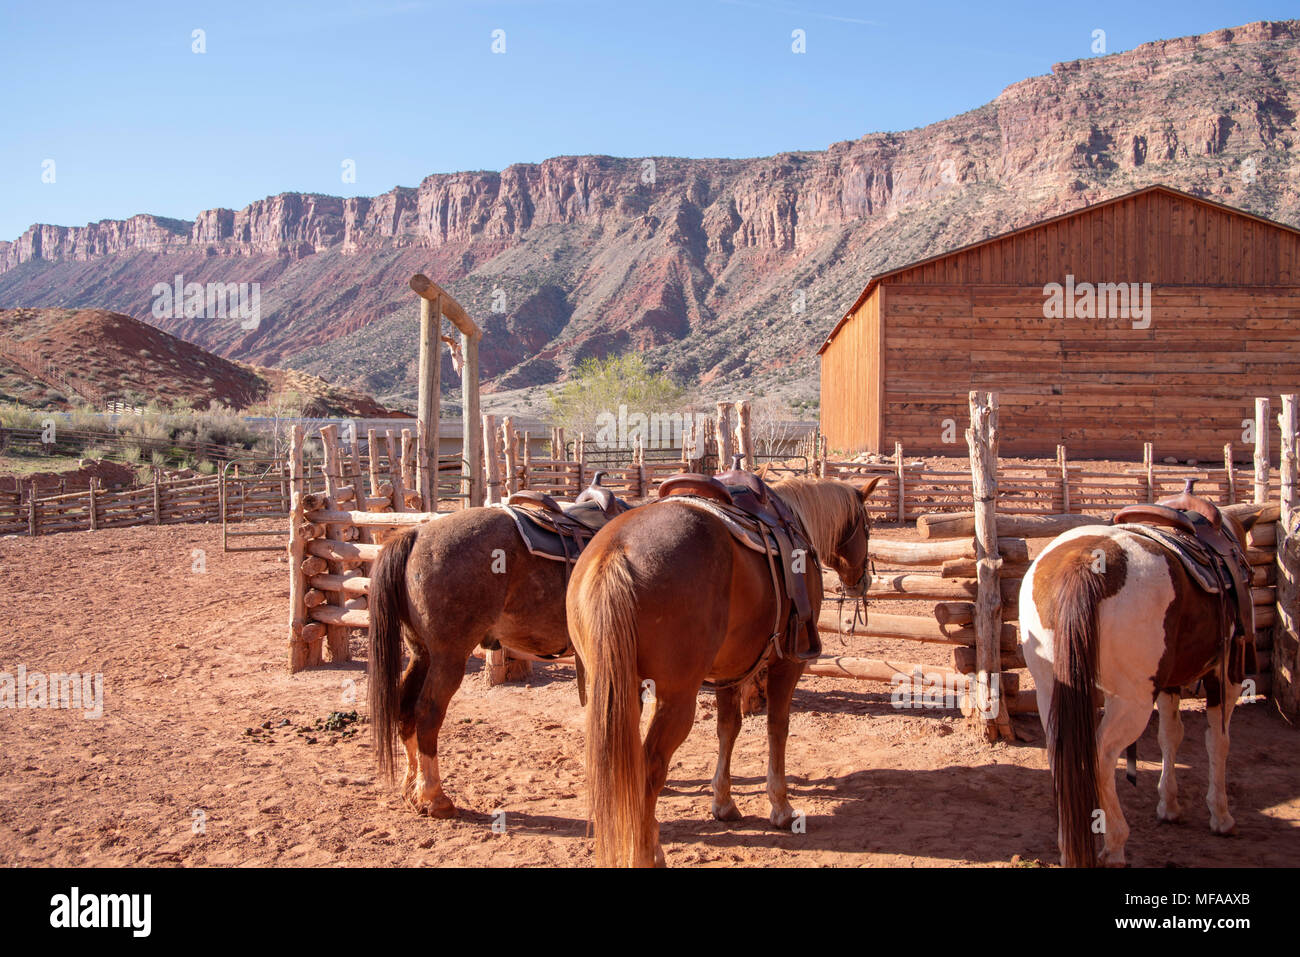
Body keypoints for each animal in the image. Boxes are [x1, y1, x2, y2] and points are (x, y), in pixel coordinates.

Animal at [567, 474, 883, 867]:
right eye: (867, 527)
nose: (862, 582)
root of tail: (617, 551)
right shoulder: (788, 664)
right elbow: (777, 728)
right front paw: (781, 807)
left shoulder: (730, 670)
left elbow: (727, 730)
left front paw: (723, 802)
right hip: (676, 699)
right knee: (650, 768)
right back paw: (645, 853)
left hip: (619, 688)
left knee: (627, 766)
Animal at [1018, 506, 1259, 867]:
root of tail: (1082, 564)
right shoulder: (1225, 677)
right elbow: (1218, 741)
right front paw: (1221, 816)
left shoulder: (1169, 685)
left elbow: (1170, 736)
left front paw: (1169, 806)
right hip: (1133, 701)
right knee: (1102, 753)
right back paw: (1115, 844)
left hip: (1051, 688)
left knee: (1060, 751)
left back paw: (1067, 844)